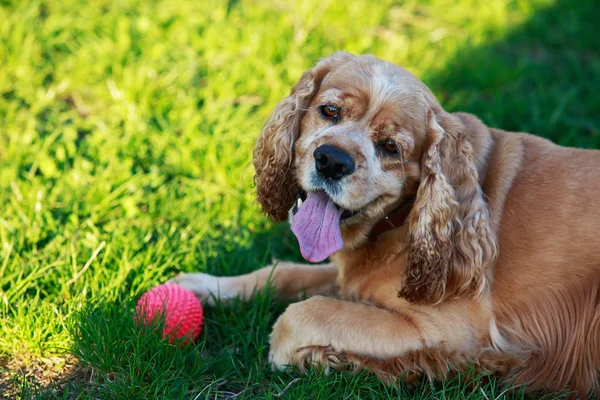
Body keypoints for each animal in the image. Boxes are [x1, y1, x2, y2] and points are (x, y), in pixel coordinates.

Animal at [170, 52, 600, 396]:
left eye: (391, 147)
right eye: (330, 111)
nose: (331, 160)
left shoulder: (451, 330)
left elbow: (301, 315)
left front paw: (322, 358)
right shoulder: (349, 277)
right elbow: (283, 274)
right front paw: (204, 286)